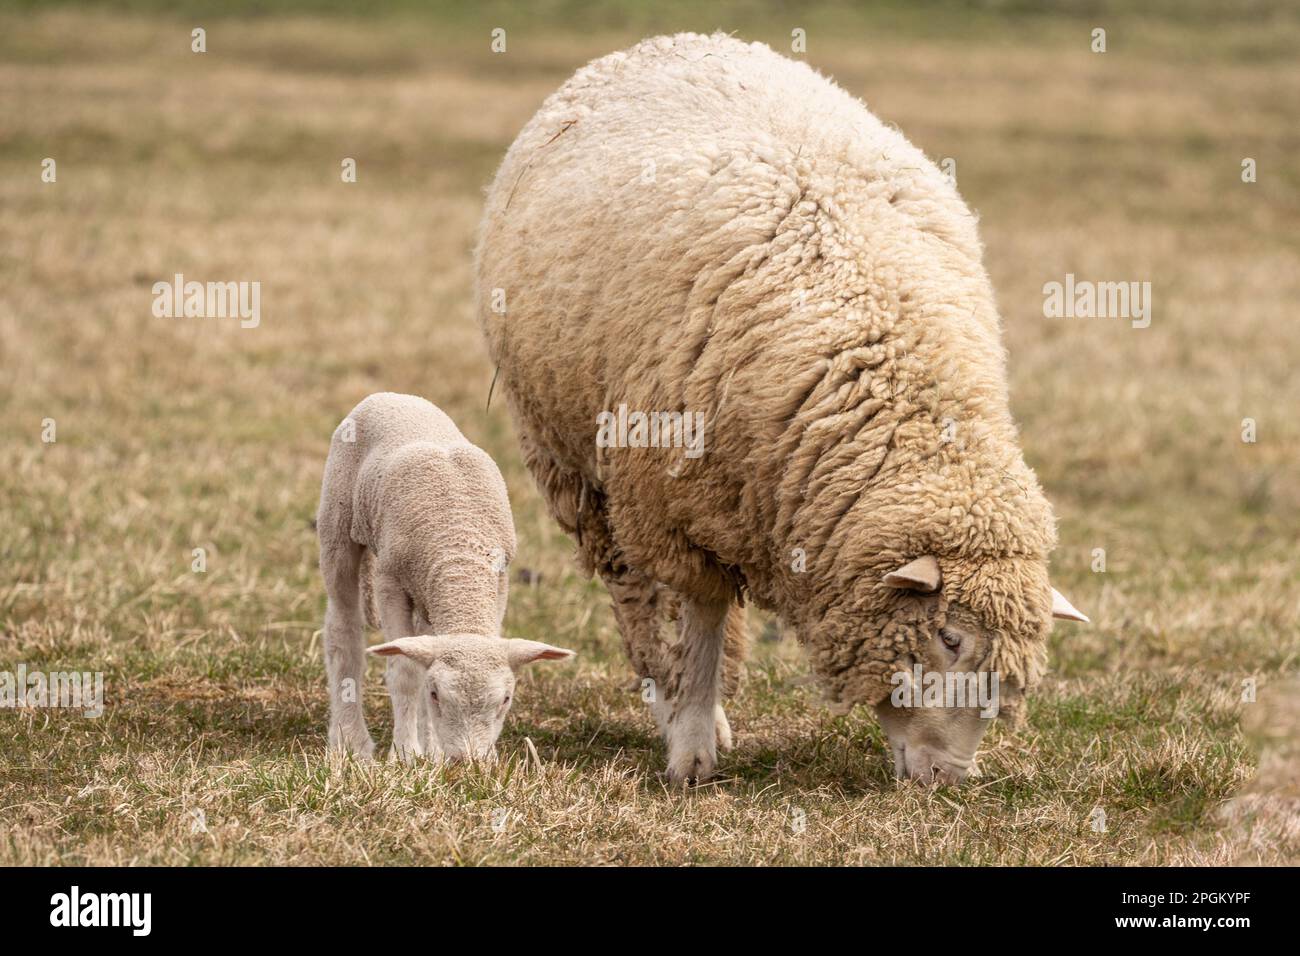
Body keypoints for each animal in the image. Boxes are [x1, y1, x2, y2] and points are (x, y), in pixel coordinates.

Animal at [317, 390, 577, 764]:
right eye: (436, 694)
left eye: (505, 700)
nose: (468, 762)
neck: (458, 547)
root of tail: (391, 395)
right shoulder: (389, 581)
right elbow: (405, 672)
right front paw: (405, 754)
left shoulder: (499, 582)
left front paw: (433, 753)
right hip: (338, 524)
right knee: (343, 631)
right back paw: (349, 741)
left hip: (425, 595)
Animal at [478, 33, 1086, 790]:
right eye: (949, 637)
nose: (948, 779)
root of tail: (672, 40)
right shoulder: (672, 504)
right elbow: (700, 619)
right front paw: (690, 747)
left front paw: (702, 717)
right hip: (577, 465)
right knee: (637, 597)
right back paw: (668, 694)